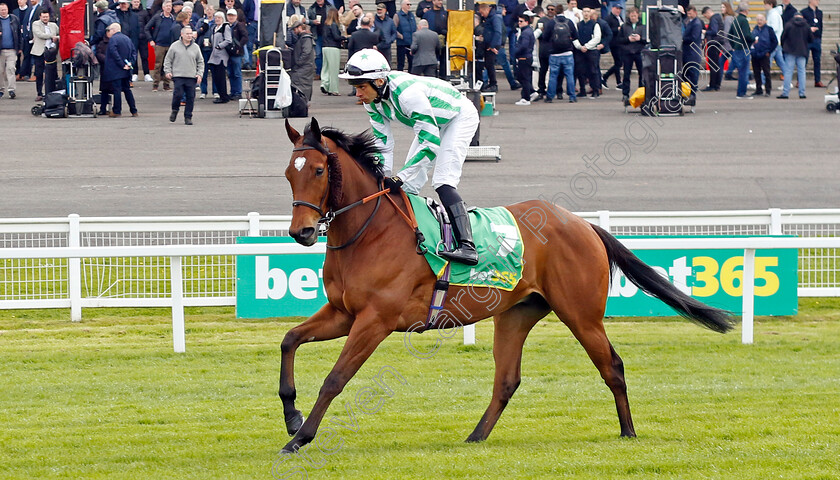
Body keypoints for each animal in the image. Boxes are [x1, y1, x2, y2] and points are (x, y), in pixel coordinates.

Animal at [278, 117, 732, 454]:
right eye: (288, 174)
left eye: (318, 170)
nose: (301, 232)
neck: (370, 233)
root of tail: (584, 224)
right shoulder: (343, 313)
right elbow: (289, 340)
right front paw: (292, 416)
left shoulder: (376, 320)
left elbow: (335, 378)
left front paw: (301, 438)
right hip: (516, 315)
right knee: (507, 379)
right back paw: (475, 436)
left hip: (582, 315)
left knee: (612, 366)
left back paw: (628, 431)